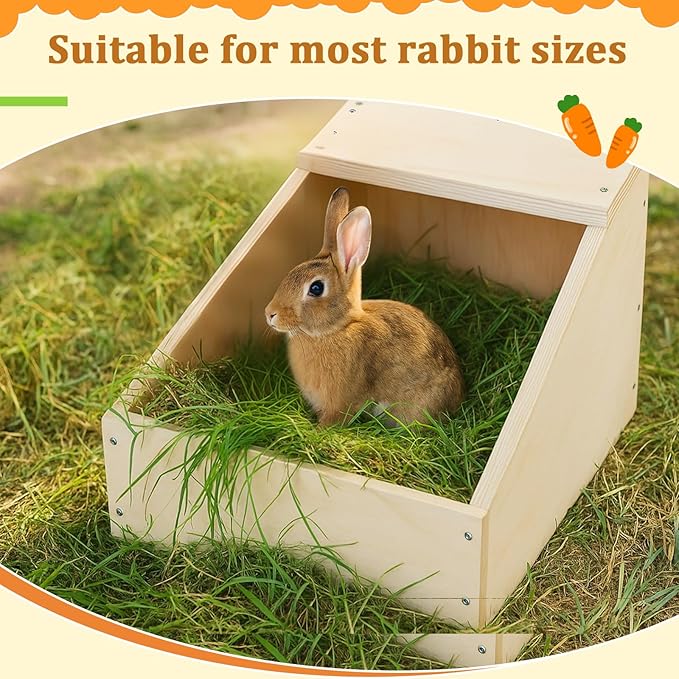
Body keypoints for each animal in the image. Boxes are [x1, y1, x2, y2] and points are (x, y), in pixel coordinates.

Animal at [264, 187, 464, 427]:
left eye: (316, 288)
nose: (270, 314)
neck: (336, 329)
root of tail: (458, 395)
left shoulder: (341, 403)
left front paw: (320, 430)